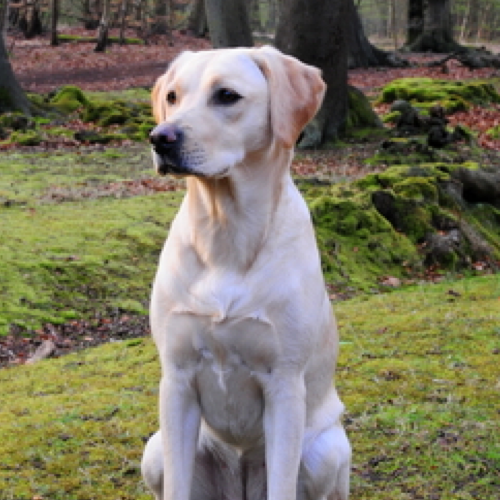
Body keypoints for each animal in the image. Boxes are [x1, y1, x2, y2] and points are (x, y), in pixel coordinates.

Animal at [142, 46, 352, 500]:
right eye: (172, 96)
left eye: (226, 95)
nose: (160, 137)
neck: (226, 232)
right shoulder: (177, 379)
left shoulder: (284, 384)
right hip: (154, 451)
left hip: (326, 450)